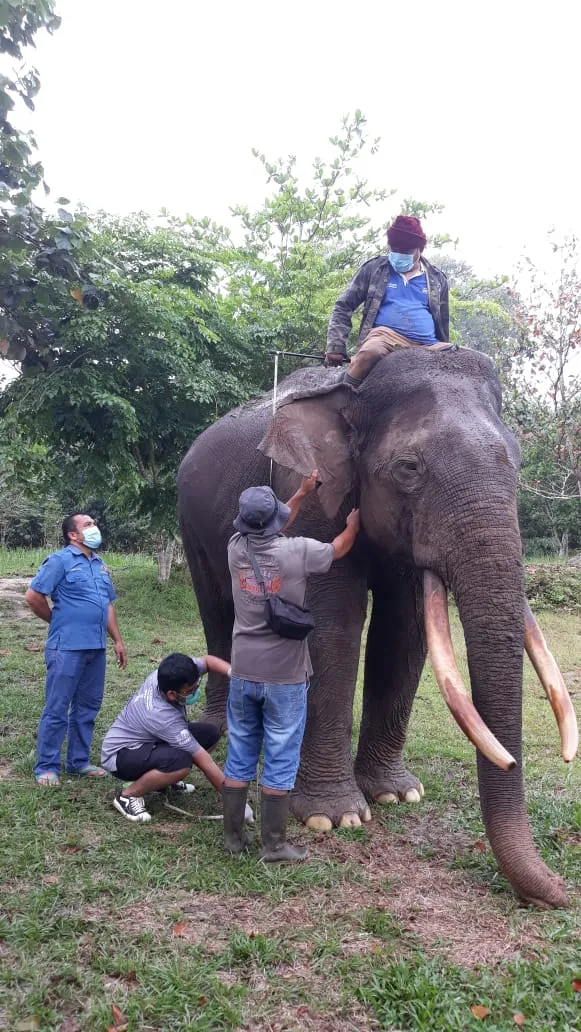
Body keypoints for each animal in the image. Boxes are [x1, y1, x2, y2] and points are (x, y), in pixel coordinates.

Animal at [178, 347, 578, 908]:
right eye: (409, 468)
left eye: (518, 465)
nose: (560, 892)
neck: (358, 390)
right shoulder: (309, 496)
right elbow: (333, 624)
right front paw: (335, 818)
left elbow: (405, 629)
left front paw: (396, 794)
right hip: (190, 523)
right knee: (217, 610)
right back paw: (219, 730)